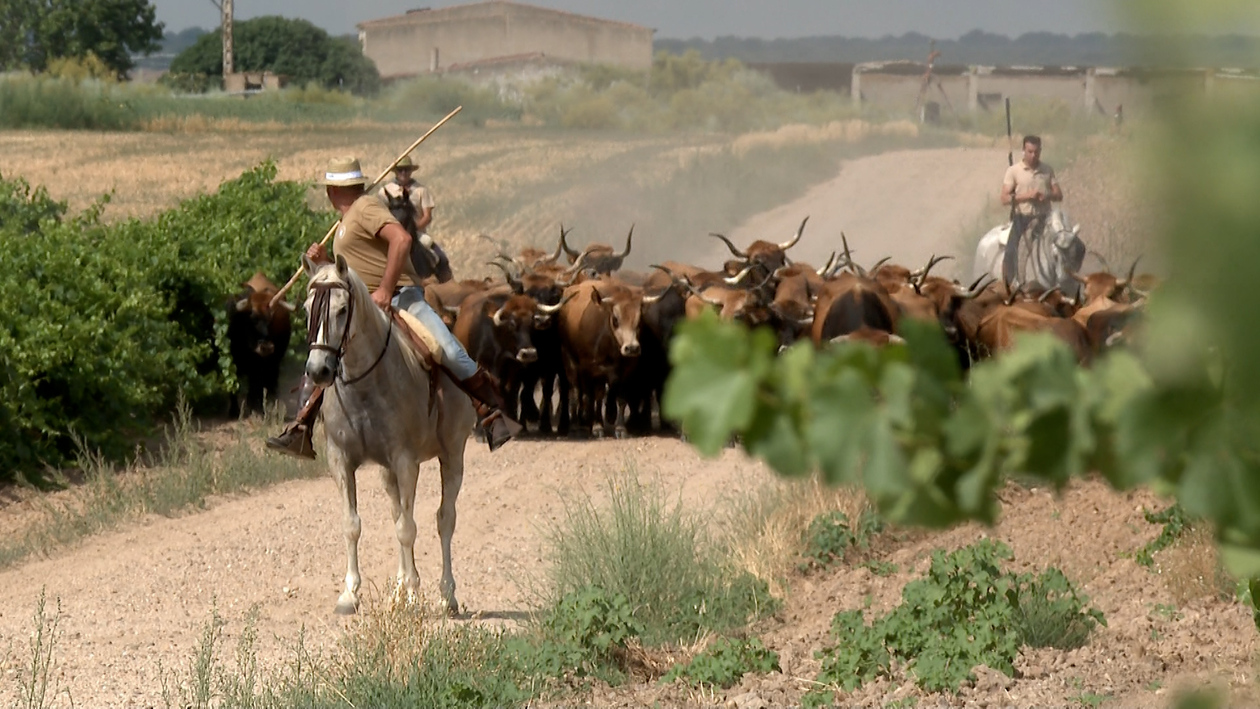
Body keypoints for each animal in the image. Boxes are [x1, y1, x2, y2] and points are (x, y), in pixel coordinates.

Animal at [302, 253, 476, 616]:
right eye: (307, 308)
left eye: (342, 309)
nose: (318, 370)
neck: (366, 385)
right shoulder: (341, 460)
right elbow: (353, 525)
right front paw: (350, 593)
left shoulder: (405, 461)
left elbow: (408, 530)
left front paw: (413, 594)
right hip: (388, 474)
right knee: (401, 514)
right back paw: (398, 589)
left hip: (452, 456)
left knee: (444, 520)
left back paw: (446, 595)